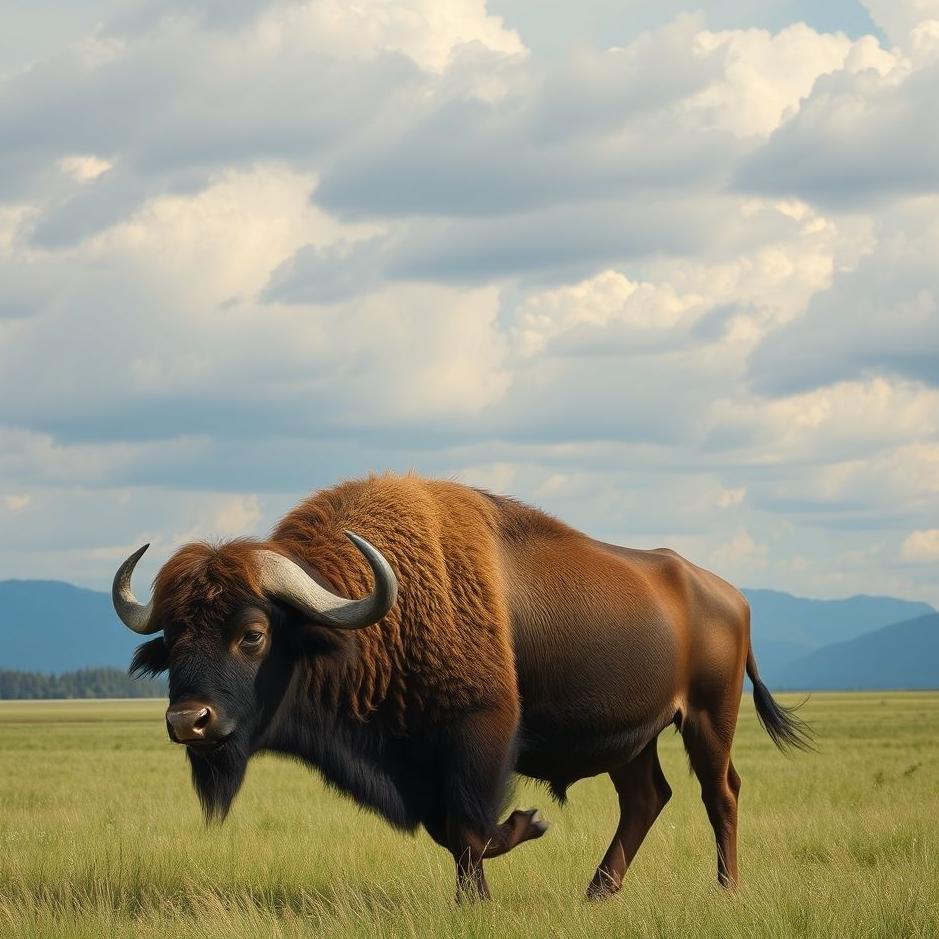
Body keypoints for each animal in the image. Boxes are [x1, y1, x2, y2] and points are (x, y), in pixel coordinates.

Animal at [114, 473, 810, 899]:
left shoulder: (479, 738)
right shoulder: (420, 765)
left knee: (721, 794)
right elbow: (452, 833)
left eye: (253, 634)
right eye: (173, 638)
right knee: (646, 798)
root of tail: (727, 594)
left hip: (708, 720)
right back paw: (595, 895)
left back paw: (725, 890)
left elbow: (472, 831)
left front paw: (520, 836)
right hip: (631, 740)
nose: (188, 721)